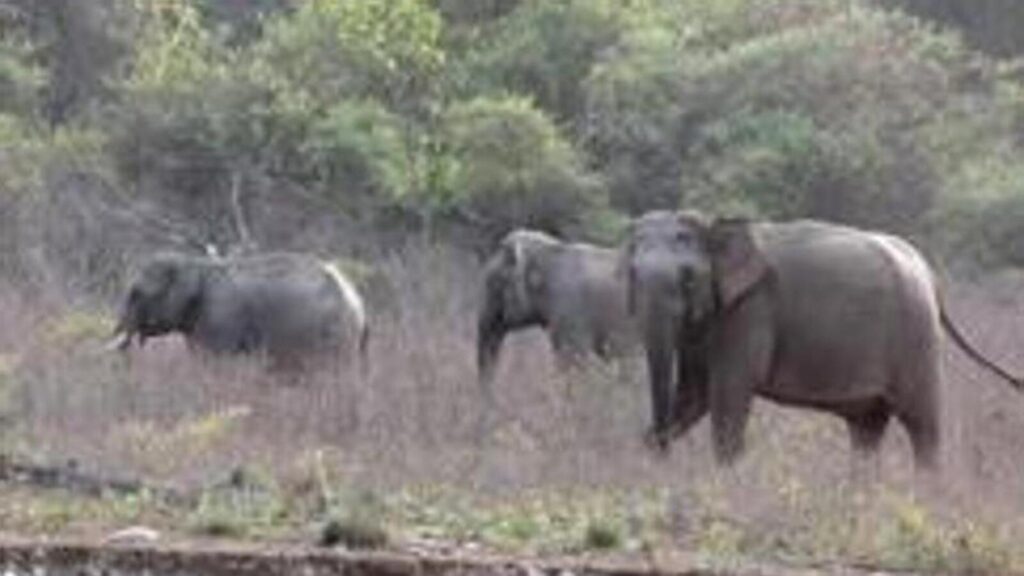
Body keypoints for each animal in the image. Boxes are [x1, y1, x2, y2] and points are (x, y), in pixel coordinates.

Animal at [108, 251, 369, 372]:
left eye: (137, 293)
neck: (198, 264)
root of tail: (356, 300)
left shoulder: (219, 316)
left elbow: (212, 362)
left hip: (332, 337)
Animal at [622, 210, 1022, 469]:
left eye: (688, 278)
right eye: (632, 274)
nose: (662, 453)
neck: (711, 223)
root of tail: (930, 275)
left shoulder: (750, 311)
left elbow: (727, 397)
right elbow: (695, 396)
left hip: (917, 339)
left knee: (921, 425)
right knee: (867, 430)